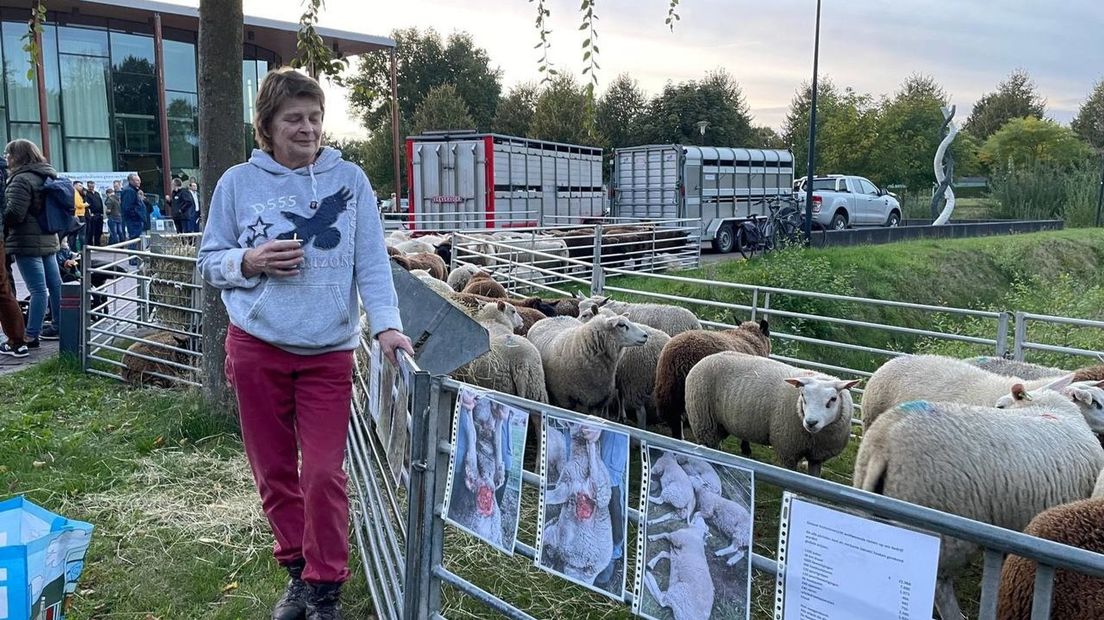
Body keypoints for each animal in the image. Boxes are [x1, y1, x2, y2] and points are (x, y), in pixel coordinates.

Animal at [684, 350, 856, 474]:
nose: (811, 422)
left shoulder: (817, 456)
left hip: (719, 423)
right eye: (803, 396)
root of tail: (705, 359)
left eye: (833, 399)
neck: (814, 437)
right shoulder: (788, 449)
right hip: (704, 421)